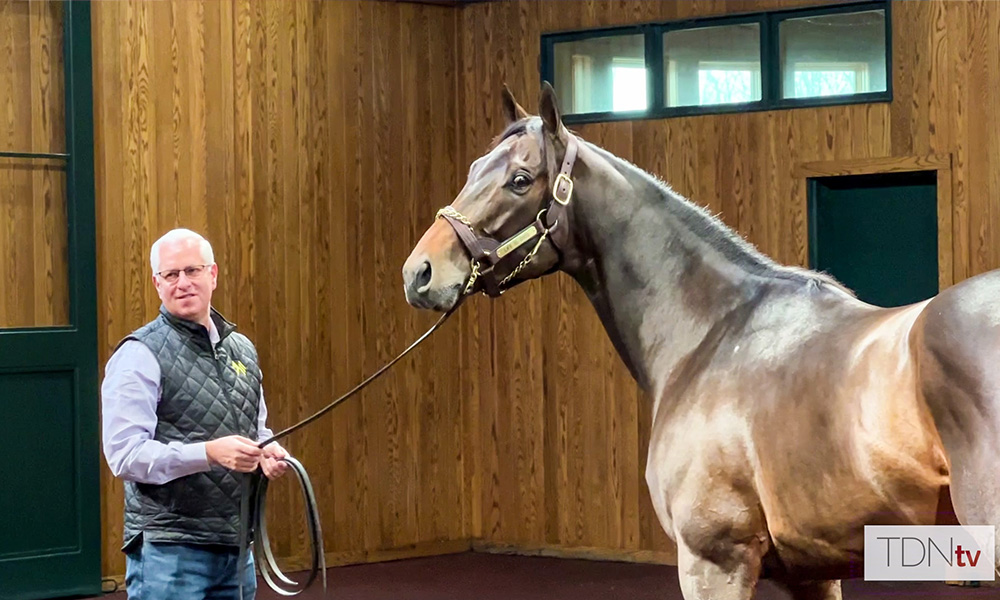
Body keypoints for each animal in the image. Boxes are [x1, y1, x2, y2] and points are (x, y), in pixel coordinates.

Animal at [400, 84, 1000, 600]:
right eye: (474, 170)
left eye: (521, 179)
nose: (420, 272)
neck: (712, 333)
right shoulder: (810, 572)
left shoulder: (714, 561)